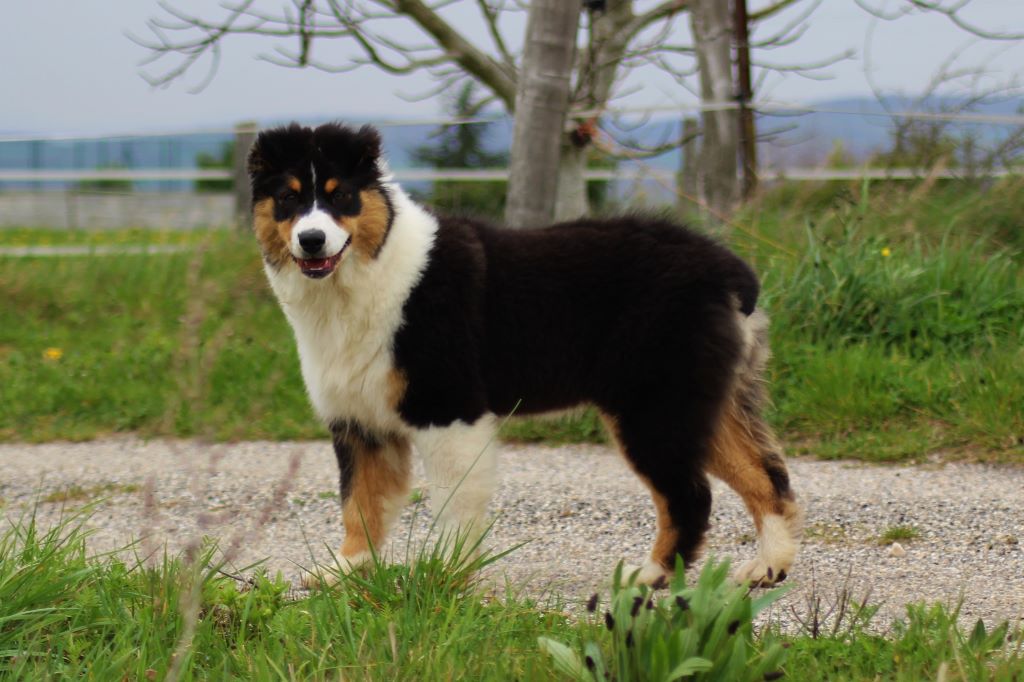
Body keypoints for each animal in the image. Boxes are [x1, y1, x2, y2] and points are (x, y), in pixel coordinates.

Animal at [245, 122, 798, 585]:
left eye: (341, 196)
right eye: (287, 199)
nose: (312, 240)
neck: (369, 275)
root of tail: (728, 269)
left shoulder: (449, 411)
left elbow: (452, 504)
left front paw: (444, 576)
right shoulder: (361, 424)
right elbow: (360, 503)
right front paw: (345, 571)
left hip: (654, 406)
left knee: (690, 495)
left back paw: (651, 576)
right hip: (706, 402)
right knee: (767, 477)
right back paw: (767, 568)